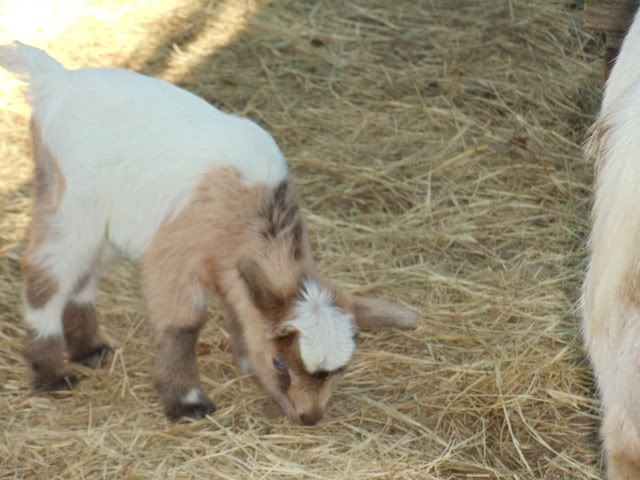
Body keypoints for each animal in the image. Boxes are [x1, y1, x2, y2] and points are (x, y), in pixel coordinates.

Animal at [0, 42, 417, 425]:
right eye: (280, 364)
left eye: (340, 369)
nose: (308, 417)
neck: (252, 208)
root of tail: (55, 79)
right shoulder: (174, 258)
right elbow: (183, 326)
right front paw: (186, 401)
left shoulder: (232, 267)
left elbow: (237, 303)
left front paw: (243, 358)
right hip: (72, 203)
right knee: (47, 273)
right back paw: (51, 376)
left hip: (102, 221)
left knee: (84, 273)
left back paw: (91, 350)